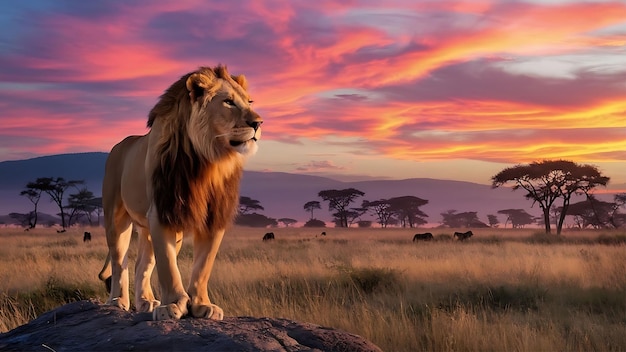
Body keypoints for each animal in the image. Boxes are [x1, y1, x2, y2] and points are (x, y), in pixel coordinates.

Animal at [97, 64, 260, 320]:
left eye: (249, 101)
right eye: (228, 102)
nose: (258, 123)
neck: (209, 160)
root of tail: (118, 145)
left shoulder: (213, 216)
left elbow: (203, 265)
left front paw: (203, 305)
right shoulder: (162, 210)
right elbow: (168, 265)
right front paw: (173, 305)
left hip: (149, 228)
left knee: (142, 265)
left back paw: (146, 302)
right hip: (116, 217)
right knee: (119, 261)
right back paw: (117, 301)